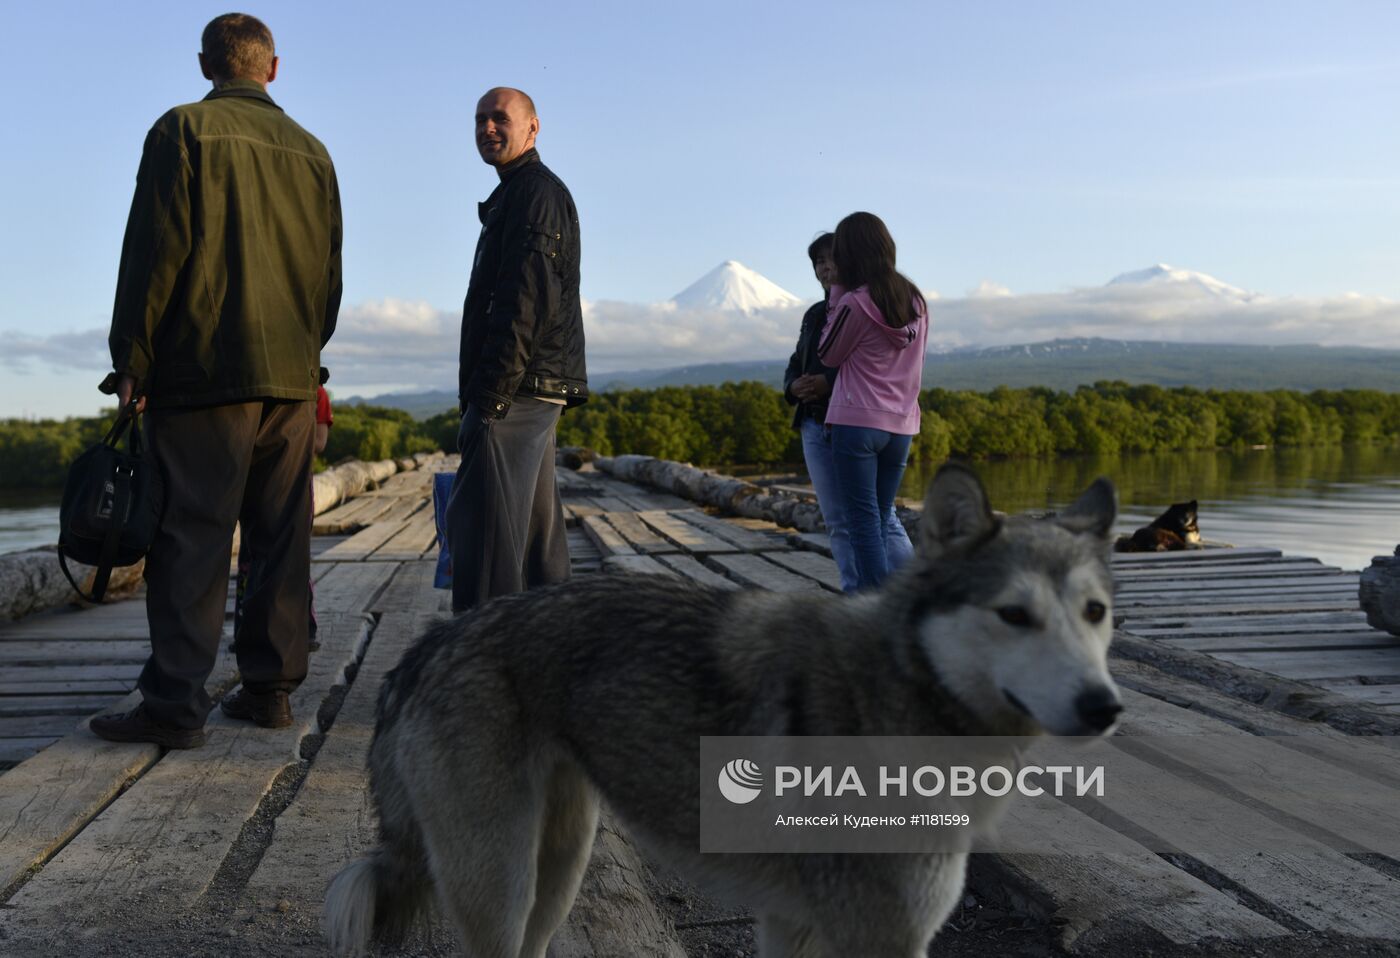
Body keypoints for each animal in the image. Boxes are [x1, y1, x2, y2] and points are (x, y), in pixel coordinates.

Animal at [322, 459, 1120, 952]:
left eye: (1096, 613)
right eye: (1015, 615)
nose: (1104, 708)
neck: (899, 689)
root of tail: (432, 642)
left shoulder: (793, 927)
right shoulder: (878, 936)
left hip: (560, 865)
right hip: (503, 881)